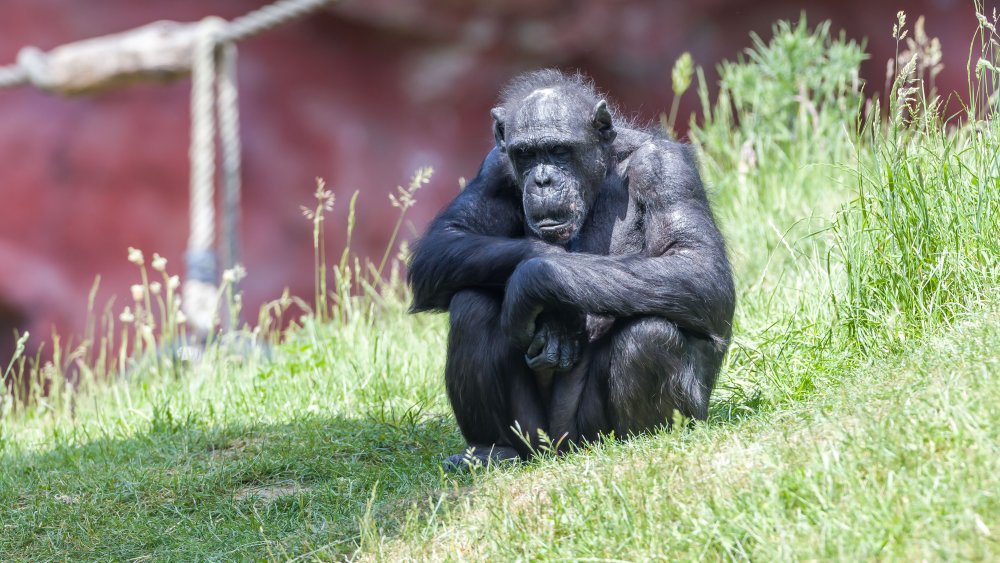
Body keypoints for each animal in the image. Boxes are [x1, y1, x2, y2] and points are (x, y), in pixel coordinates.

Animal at [406, 69, 736, 468]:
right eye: (526, 154)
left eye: (559, 150)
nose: (543, 180)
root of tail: (562, 450)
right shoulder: (493, 169)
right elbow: (445, 241)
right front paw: (554, 311)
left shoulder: (666, 169)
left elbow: (697, 264)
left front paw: (535, 280)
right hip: (535, 435)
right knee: (471, 306)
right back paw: (492, 448)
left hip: (592, 432)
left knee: (649, 332)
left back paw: (647, 440)